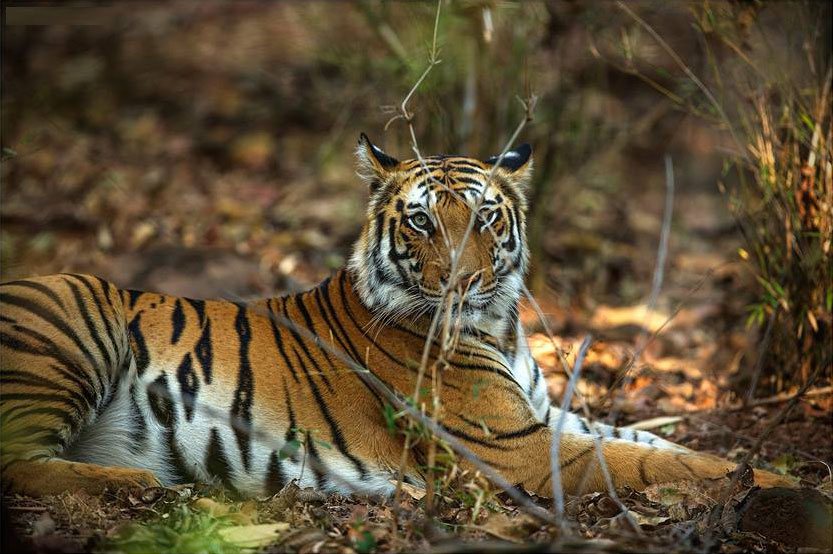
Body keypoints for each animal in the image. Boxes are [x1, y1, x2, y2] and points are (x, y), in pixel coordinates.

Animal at [1, 134, 792, 496]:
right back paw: (150, 486)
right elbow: (650, 461)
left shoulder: (542, 418)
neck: (500, 325)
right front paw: (774, 485)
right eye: (419, 221)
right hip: (73, 321)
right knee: (16, 463)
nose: (464, 281)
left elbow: (653, 441)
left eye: (484, 215)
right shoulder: (516, 450)